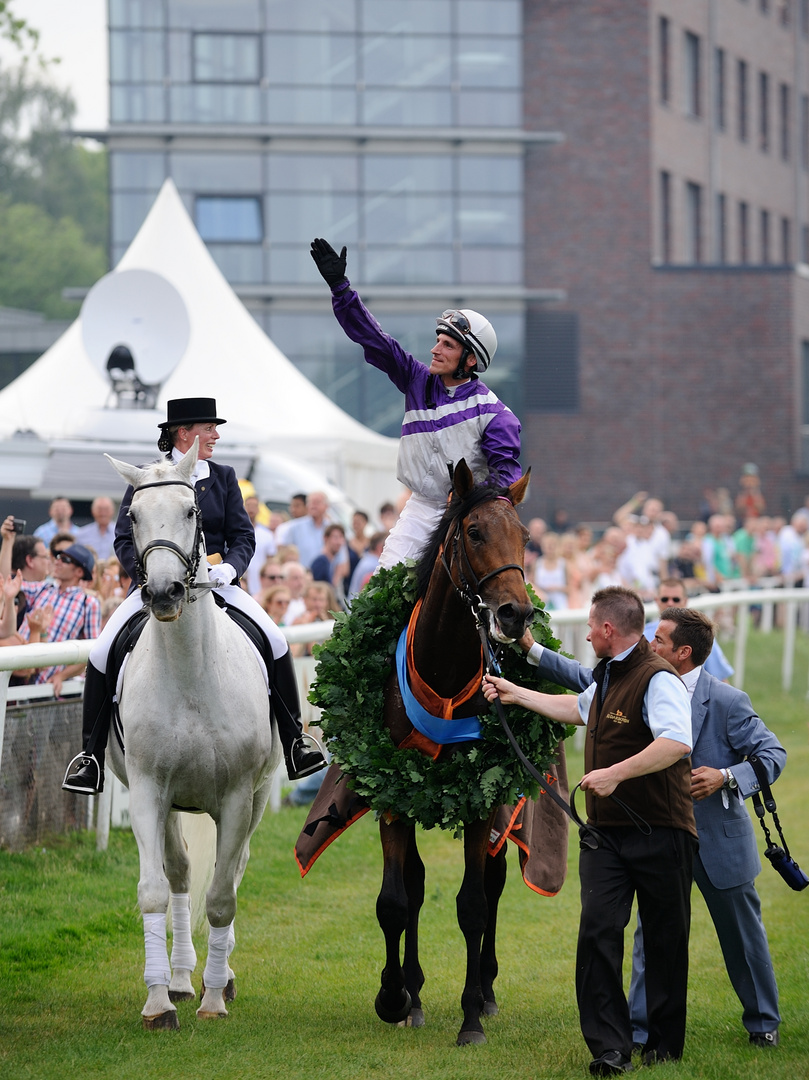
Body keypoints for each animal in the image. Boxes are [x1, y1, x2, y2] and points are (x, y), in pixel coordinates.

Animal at [104, 440, 280, 1028]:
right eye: (132, 516)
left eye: (190, 511)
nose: (163, 593)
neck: (189, 675)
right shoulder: (147, 791)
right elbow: (155, 890)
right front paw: (159, 1000)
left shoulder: (237, 797)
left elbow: (223, 897)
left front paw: (213, 999)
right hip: (171, 802)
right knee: (180, 874)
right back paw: (182, 976)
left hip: (258, 795)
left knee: (234, 869)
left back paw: (219, 978)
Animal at [373, 457, 540, 1045]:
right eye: (474, 532)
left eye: (525, 536)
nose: (515, 614)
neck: (444, 670)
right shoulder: (391, 790)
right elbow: (395, 899)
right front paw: (393, 997)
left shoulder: (478, 795)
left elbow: (473, 904)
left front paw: (470, 1016)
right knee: (417, 883)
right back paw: (415, 993)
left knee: (494, 881)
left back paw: (486, 992)